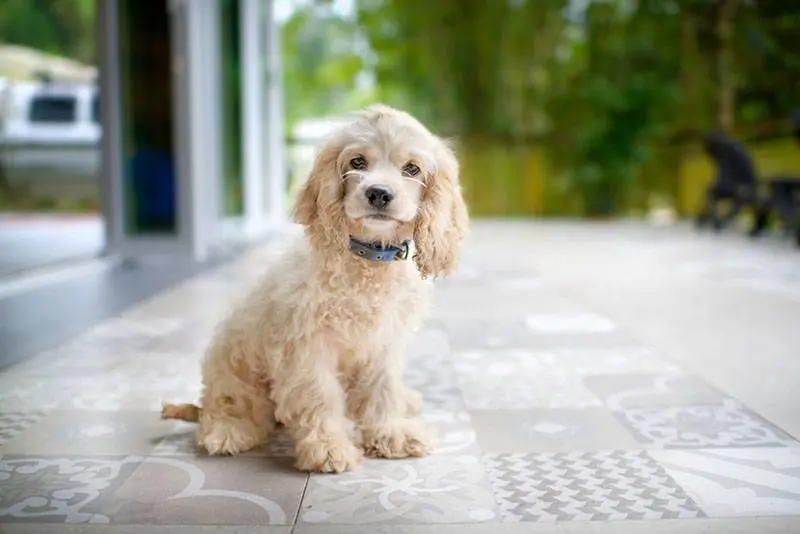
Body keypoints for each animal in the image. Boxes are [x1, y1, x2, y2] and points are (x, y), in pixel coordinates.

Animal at [162, 103, 468, 474]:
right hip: (232, 363)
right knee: (225, 405)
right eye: (357, 162)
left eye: (412, 169)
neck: (367, 261)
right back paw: (227, 430)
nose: (378, 193)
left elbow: (382, 390)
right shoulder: (308, 345)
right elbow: (320, 396)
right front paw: (328, 448)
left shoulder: (384, 343)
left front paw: (390, 433)